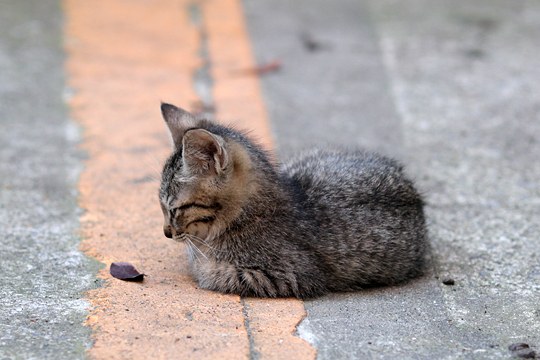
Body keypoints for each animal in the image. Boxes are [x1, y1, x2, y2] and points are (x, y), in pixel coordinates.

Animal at [158, 103, 428, 298]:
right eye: (161, 206)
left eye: (175, 209)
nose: (166, 233)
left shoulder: (289, 275)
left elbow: (210, 272)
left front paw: (198, 262)